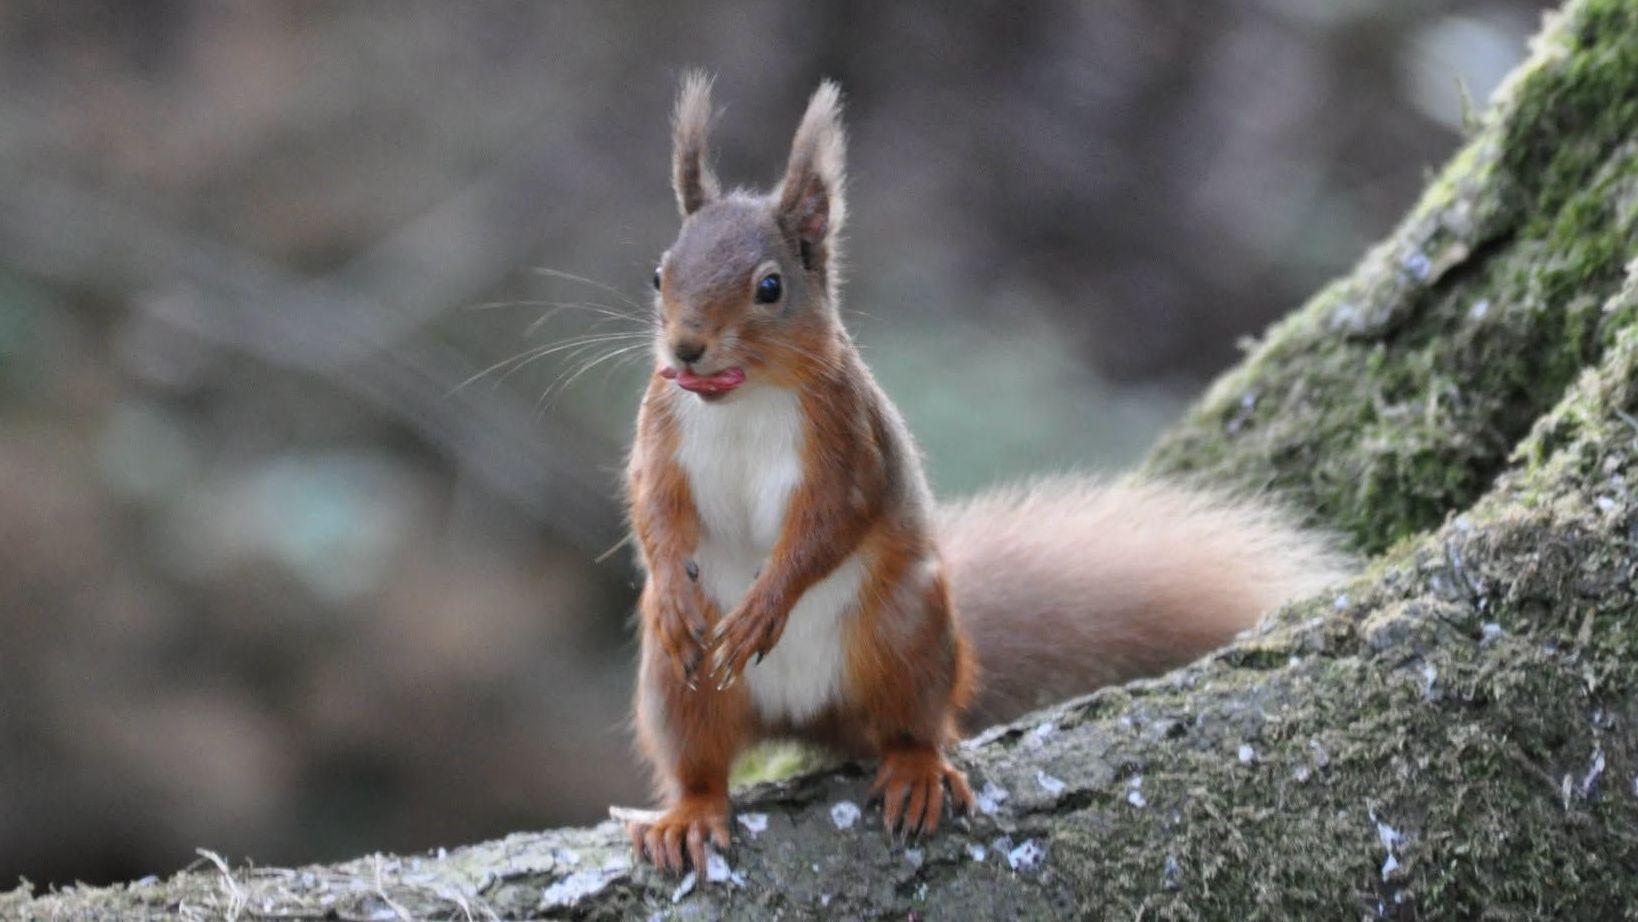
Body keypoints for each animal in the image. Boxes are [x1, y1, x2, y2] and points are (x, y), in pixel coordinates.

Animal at [621, 72, 1352, 874]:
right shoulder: (662, 427)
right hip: (676, 683)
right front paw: (671, 587)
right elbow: (653, 506)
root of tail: (806, 714)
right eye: (658, 274)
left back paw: (915, 771)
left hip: (906, 632)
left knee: (913, 724)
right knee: (699, 761)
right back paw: (689, 813)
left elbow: (833, 520)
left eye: (771, 287)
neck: (743, 397)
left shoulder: (848, 439)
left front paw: (766, 603)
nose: (686, 347)